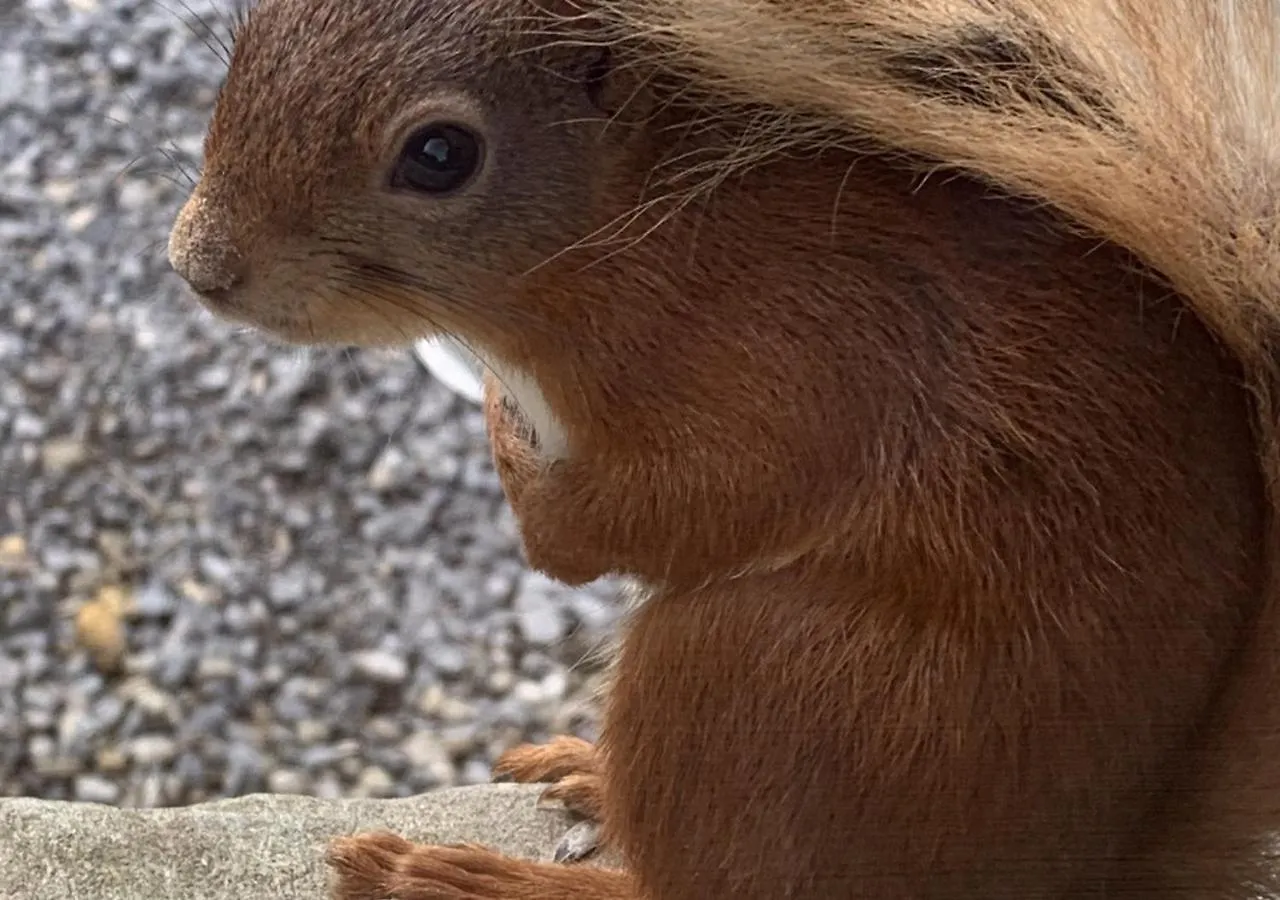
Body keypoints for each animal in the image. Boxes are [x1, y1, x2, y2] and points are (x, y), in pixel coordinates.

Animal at [167, 1, 1280, 900]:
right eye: (250, 38)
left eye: (440, 155)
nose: (199, 267)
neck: (623, 232)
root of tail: (1083, 868)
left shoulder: (800, 360)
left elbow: (670, 509)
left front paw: (517, 459)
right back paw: (587, 777)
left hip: (765, 677)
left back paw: (469, 880)